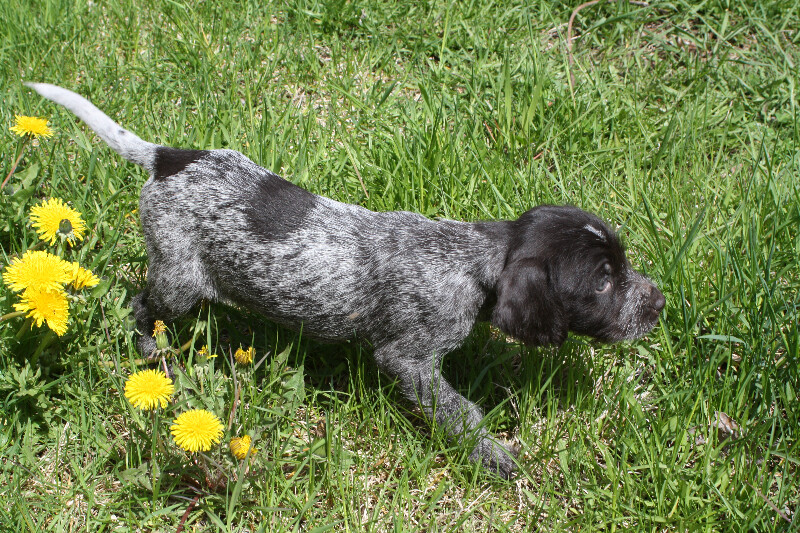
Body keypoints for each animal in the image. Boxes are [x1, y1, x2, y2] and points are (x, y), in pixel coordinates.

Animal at [26, 83, 664, 478]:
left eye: (623, 267)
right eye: (603, 282)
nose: (658, 304)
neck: (475, 257)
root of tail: (169, 158)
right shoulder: (410, 360)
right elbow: (460, 412)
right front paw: (490, 454)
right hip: (178, 277)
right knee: (142, 307)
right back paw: (152, 356)